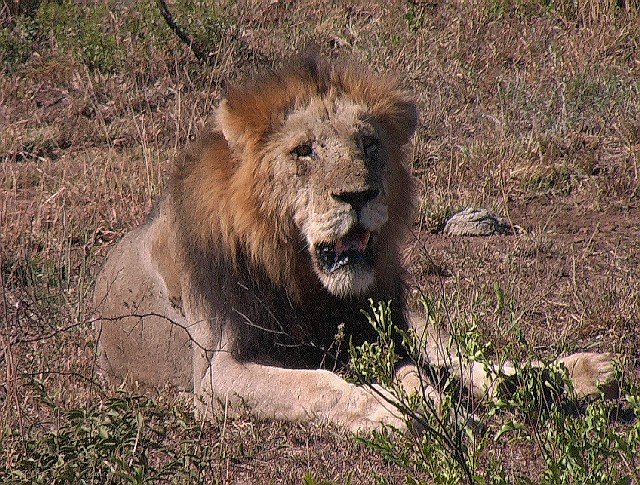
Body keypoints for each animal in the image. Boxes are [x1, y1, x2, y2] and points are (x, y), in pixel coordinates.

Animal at [94, 56, 614, 433]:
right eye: (304, 151)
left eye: (369, 144)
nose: (358, 195)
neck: (303, 277)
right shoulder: (216, 374)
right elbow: (320, 386)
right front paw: (396, 412)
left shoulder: (378, 326)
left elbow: (418, 370)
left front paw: (429, 402)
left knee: (462, 357)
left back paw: (578, 374)